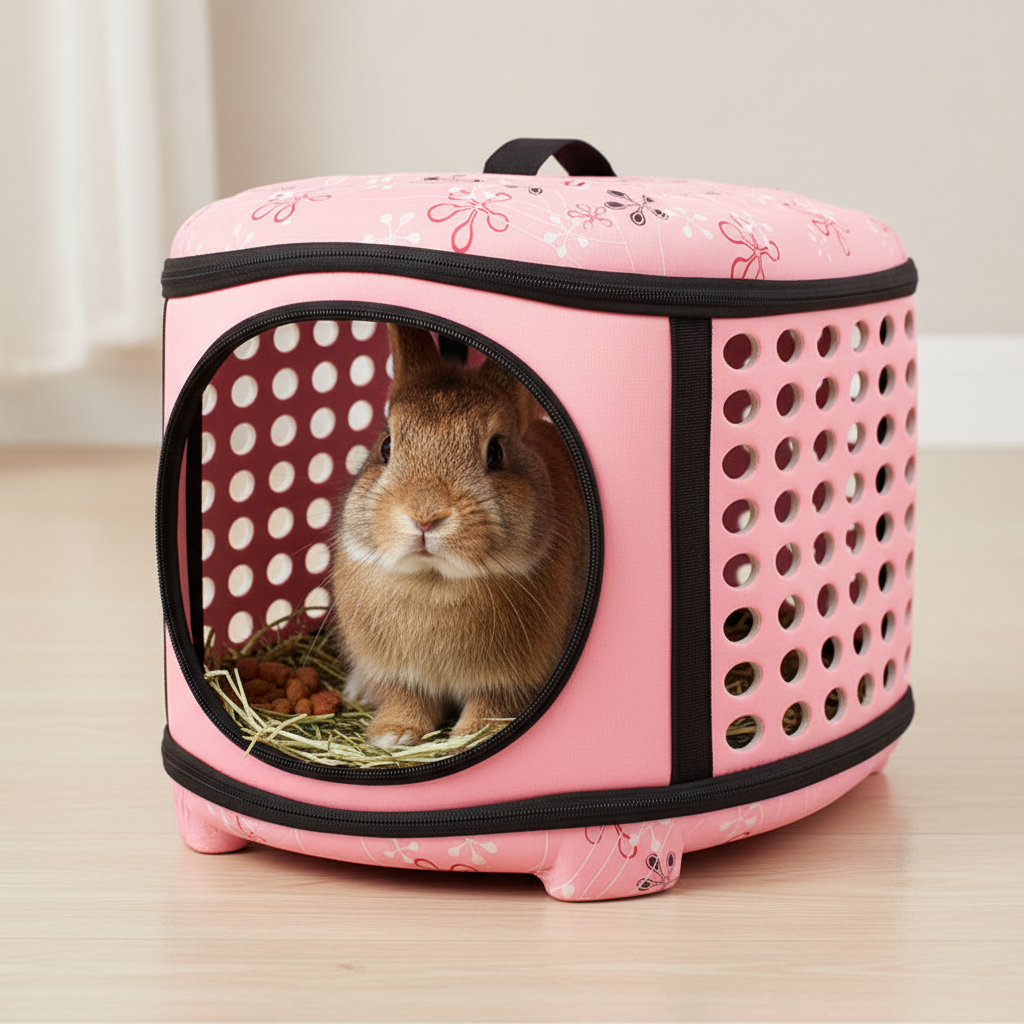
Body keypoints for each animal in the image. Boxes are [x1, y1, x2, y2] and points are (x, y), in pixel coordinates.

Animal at [331, 323, 589, 750]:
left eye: (496, 452)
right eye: (386, 446)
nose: (424, 516)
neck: (434, 581)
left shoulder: (506, 682)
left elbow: (490, 705)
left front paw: (473, 736)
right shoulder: (401, 676)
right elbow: (406, 698)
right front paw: (393, 735)